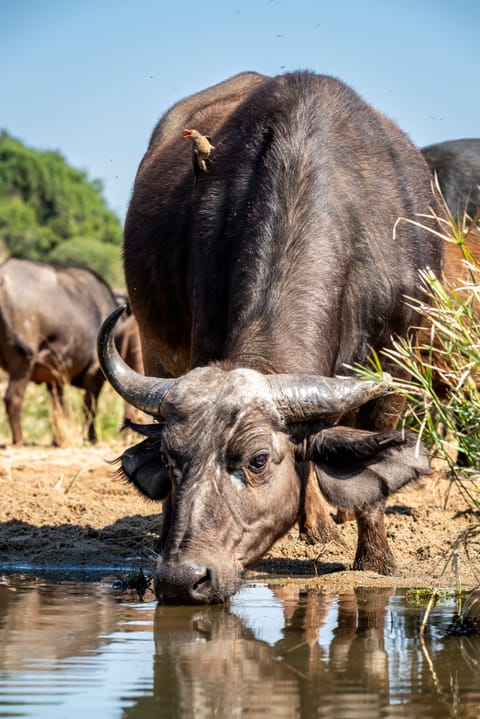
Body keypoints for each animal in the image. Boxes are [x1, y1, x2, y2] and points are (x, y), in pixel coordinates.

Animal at [0, 258, 119, 445]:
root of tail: (4, 276)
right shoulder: (95, 373)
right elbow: (89, 407)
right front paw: (91, 437)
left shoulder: (54, 380)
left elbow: (59, 408)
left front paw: (58, 439)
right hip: (23, 364)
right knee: (13, 397)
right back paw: (20, 439)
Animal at [98, 71, 442, 603]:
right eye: (172, 459)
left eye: (258, 460)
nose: (181, 578)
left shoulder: (398, 369)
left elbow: (372, 485)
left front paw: (375, 560)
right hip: (155, 352)